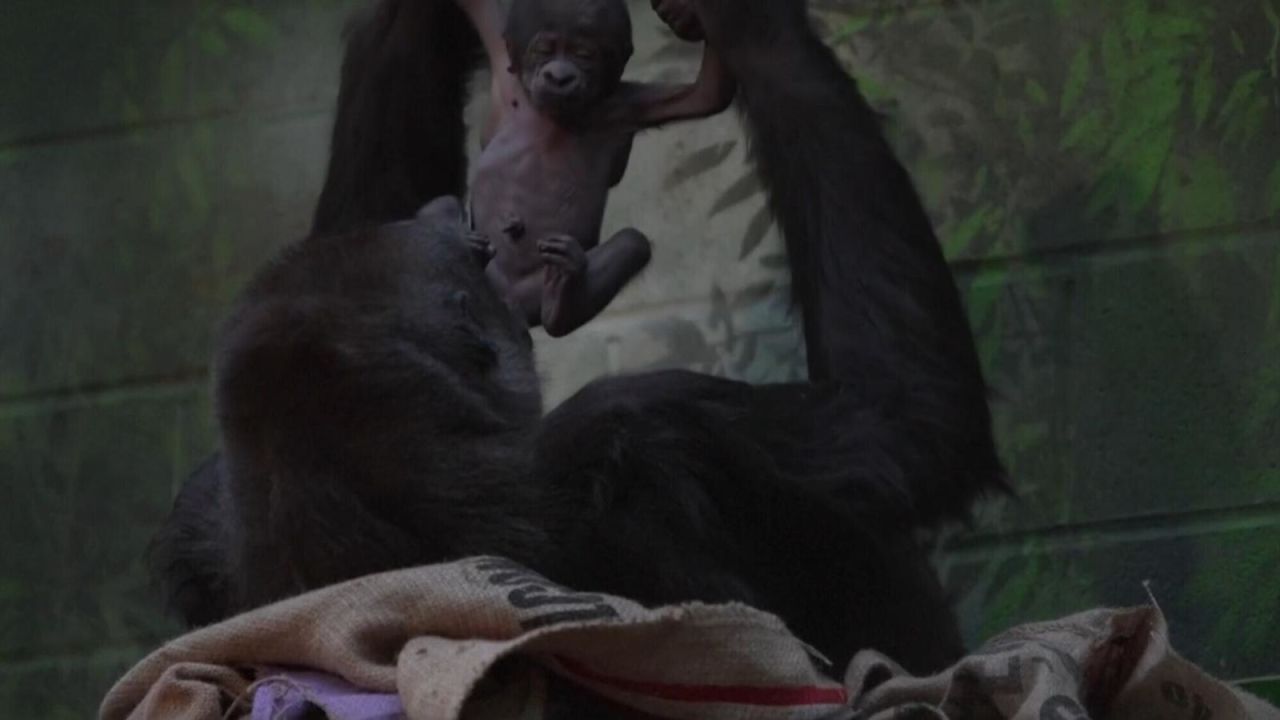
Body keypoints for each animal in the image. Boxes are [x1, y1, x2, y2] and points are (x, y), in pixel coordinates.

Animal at [458, 0, 742, 333]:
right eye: (544, 50)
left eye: (583, 54)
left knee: (632, 243)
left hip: (535, 288)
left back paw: (561, 300)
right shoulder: (508, 83)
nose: (559, 76)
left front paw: (687, 15)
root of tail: (512, 302)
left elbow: (705, 95)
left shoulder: (623, 104)